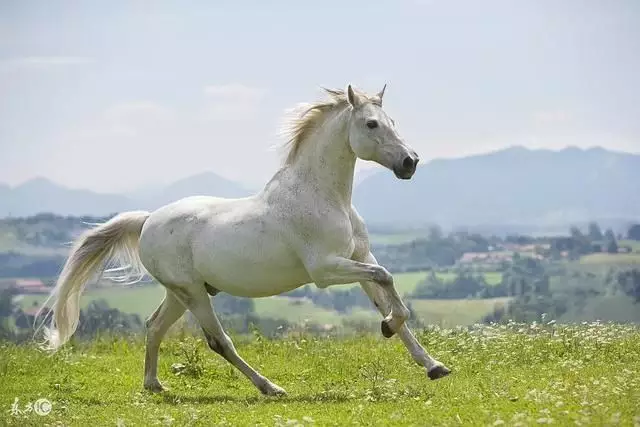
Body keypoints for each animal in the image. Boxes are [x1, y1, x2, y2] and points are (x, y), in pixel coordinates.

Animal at [37, 84, 452, 398]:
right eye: (371, 124)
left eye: (393, 122)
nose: (410, 162)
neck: (322, 196)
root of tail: (148, 221)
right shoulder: (326, 269)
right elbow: (387, 279)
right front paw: (388, 327)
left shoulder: (359, 256)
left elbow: (389, 293)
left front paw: (432, 364)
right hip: (192, 293)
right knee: (218, 341)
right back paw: (270, 387)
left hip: (179, 293)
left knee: (154, 327)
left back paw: (154, 385)